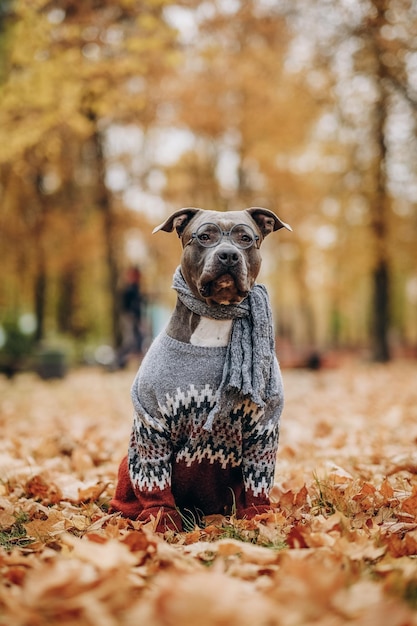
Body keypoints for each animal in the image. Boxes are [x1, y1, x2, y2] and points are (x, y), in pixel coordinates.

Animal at [111, 207, 292, 528]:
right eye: (204, 236)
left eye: (245, 238)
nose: (228, 255)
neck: (215, 320)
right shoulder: (151, 422)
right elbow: (155, 480)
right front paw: (161, 522)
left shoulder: (264, 426)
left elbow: (257, 478)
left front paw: (258, 516)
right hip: (127, 462)